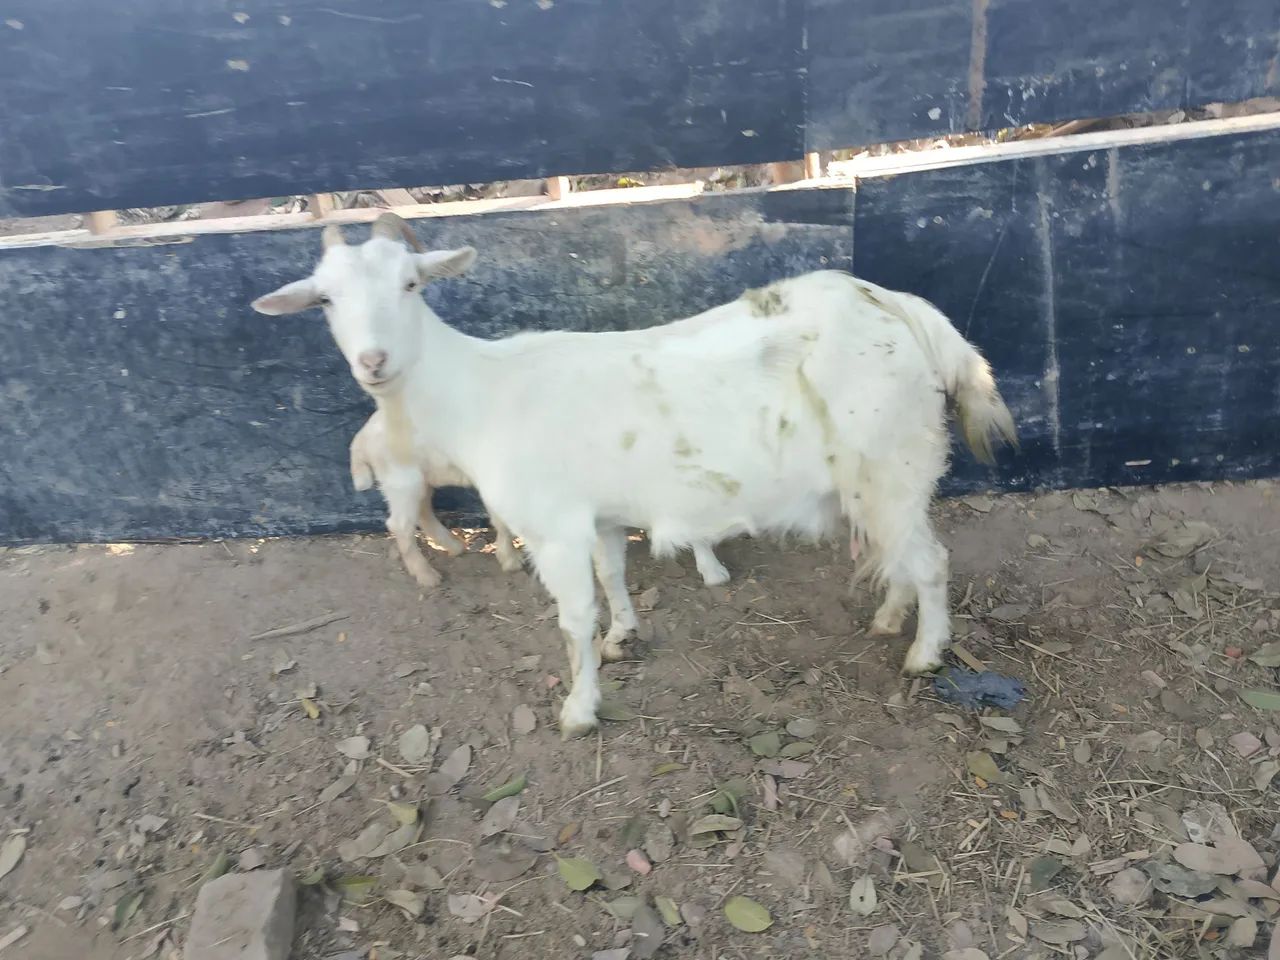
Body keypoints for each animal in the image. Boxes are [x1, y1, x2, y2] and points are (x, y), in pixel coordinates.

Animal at [253, 214, 1016, 737]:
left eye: (410, 284)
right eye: (324, 300)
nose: (374, 361)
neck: (480, 391)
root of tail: (902, 309)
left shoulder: (554, 529)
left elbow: (572, 617)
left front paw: (579, 708)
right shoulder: (600, 516)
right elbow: (613, 575)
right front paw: (623, 635)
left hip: (894, 459)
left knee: (930, 560)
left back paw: (923, 654)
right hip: (874, 478)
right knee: (899, 554)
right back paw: (889, 622)